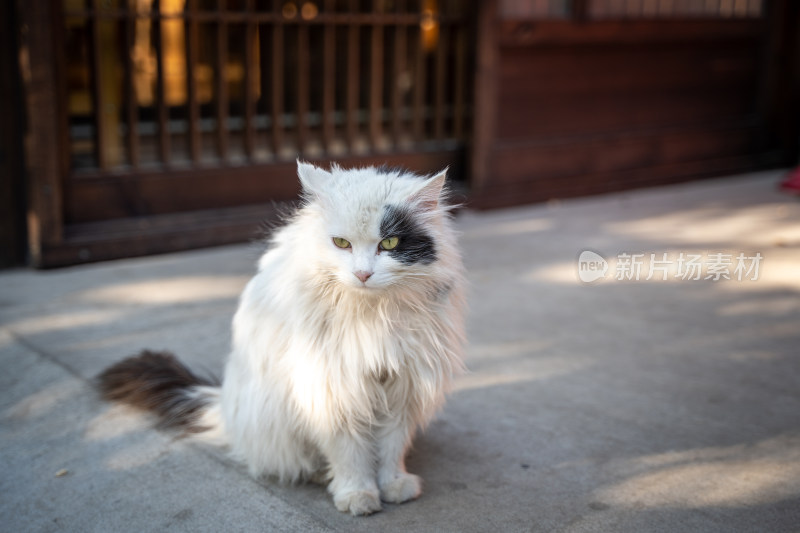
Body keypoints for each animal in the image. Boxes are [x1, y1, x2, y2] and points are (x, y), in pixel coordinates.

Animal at [97, 159, 466, 516]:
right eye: (341, 244)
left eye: (389, 243)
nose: (363, 274)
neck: (374, 315)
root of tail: (224, 406)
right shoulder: (334, 387)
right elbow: (349, 452)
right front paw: (357, 495)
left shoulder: (405, 384)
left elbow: (392, 447)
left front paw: (394, 485)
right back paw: (321, 475)